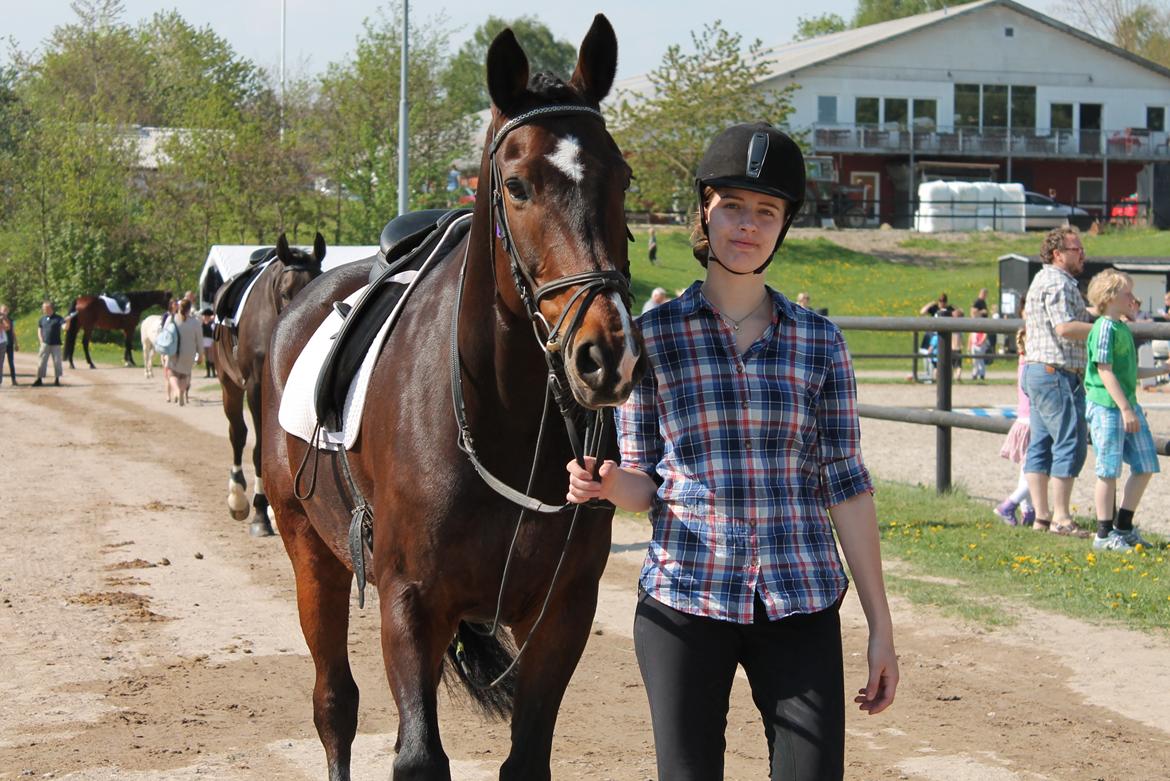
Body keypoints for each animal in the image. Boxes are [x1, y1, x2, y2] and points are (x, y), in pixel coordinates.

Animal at [212, 231, 325, 537]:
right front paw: (261, 512)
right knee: (238, 433)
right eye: (285, 292)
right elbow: (258, 447)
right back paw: (238, 498)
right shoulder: (254, 387)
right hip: (229, 383)